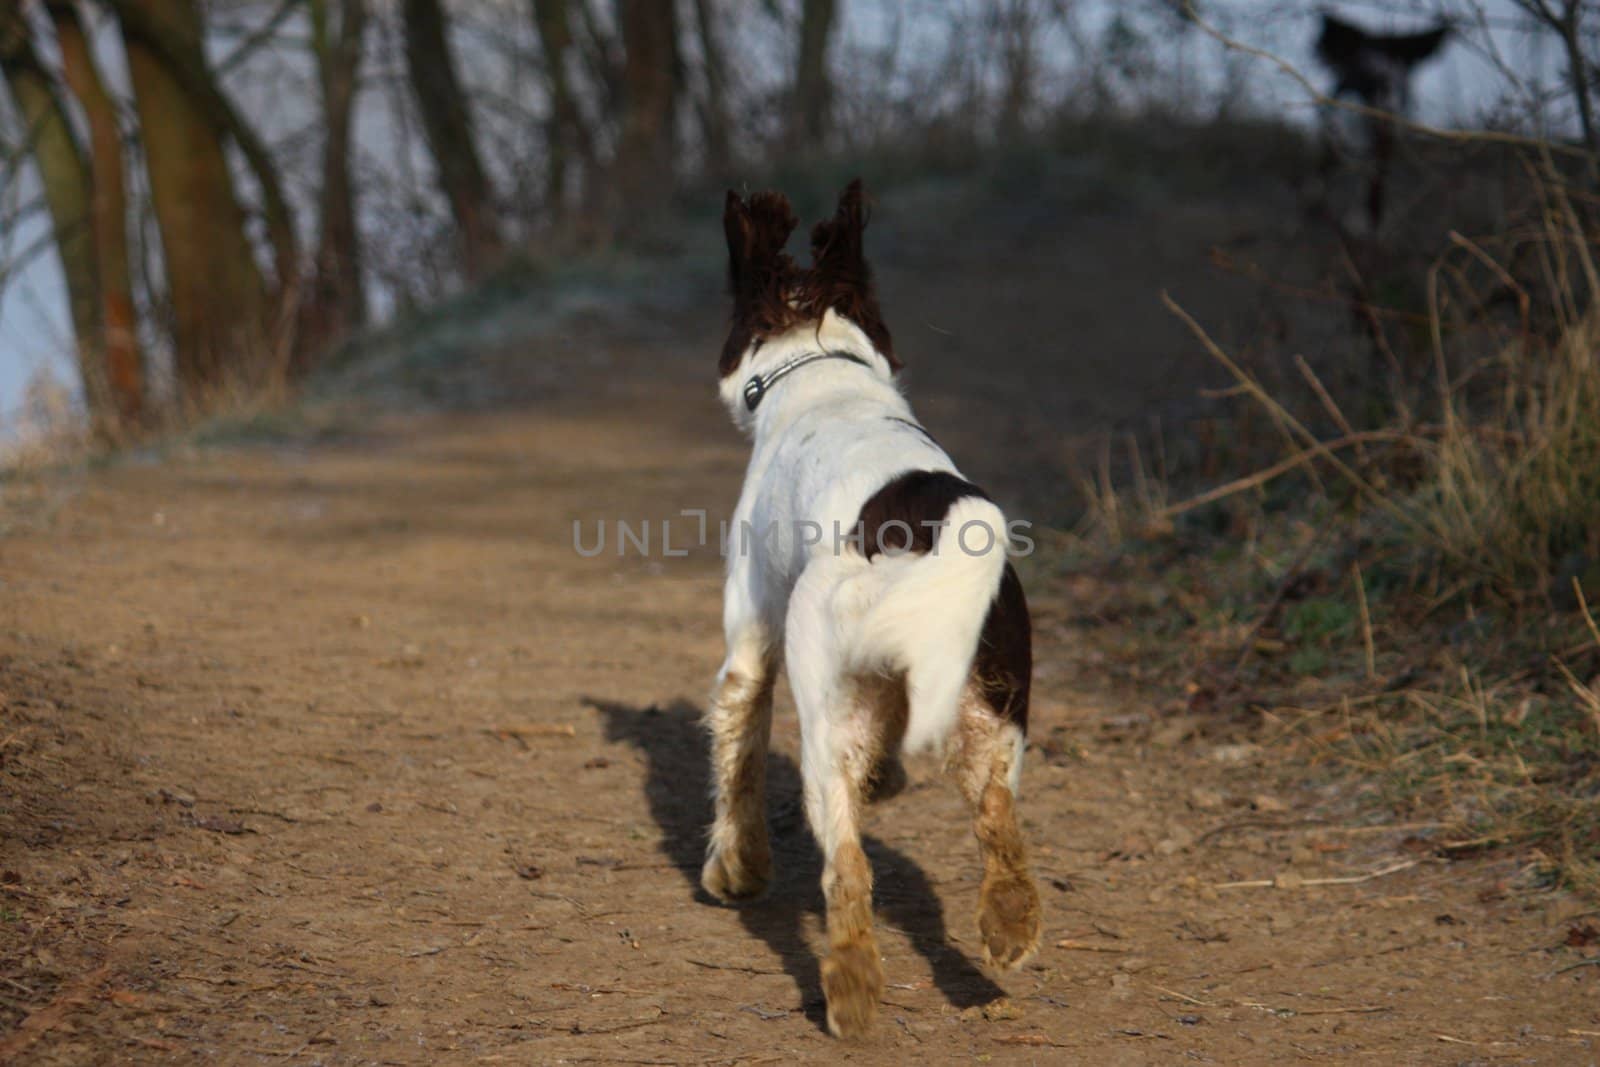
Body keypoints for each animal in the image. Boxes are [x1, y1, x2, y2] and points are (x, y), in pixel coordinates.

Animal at [700, 179, 1036, 1036]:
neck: (820, 367)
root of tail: (929, 522)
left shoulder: (752, 639)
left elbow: (738, 745)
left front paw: (735, 867)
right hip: (990, 707)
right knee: (997, 817)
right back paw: (1009, 929)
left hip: (826, 699)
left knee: (847, 863)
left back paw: (850, 991)